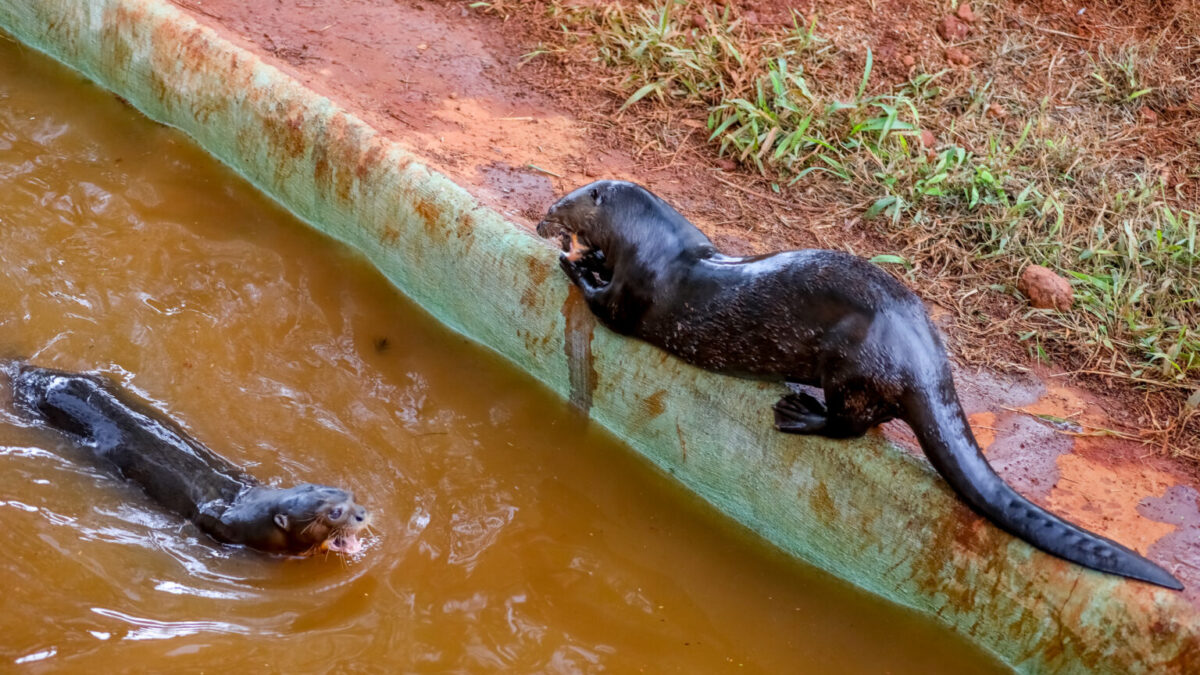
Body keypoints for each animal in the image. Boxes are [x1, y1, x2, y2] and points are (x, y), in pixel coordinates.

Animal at [540, 178, 1185, 588]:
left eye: (563, 201)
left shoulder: (638, 293)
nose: (546, 218)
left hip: (853, 370)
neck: (664, 247)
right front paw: (589, 257)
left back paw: (799, 412)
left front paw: (575, 262)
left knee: (853, 425)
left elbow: (609, 310)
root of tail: (925, 360)